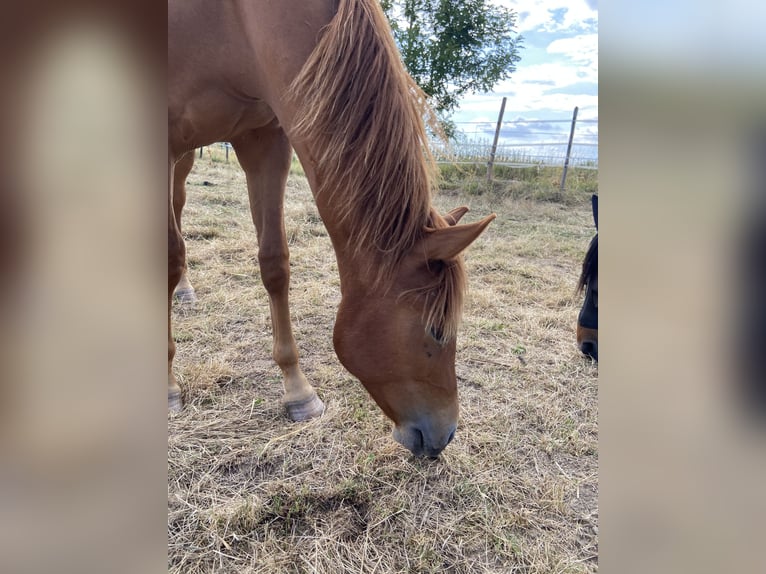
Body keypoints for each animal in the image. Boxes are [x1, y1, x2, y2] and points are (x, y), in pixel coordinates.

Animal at [168, 0, 495, 457]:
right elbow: (167, 255)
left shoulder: (265, 139)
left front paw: (298, 392)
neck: (234, 22)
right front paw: (168, 387)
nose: (444, 435)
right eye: (435, 329)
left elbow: (275, 264)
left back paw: (184, 289)